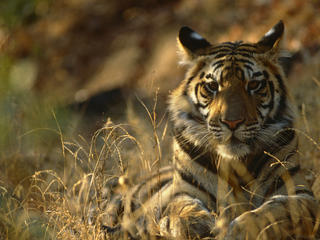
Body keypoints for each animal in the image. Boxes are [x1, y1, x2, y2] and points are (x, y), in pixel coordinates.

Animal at [104, 21, 318, 240]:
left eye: (254, 84)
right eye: (213, 86)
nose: (232, 122)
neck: (235, 163)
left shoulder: (299, 192)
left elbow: (274, 211)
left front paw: (237, 229)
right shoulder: (183, 190)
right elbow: (181, 208)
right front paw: (195, 224)